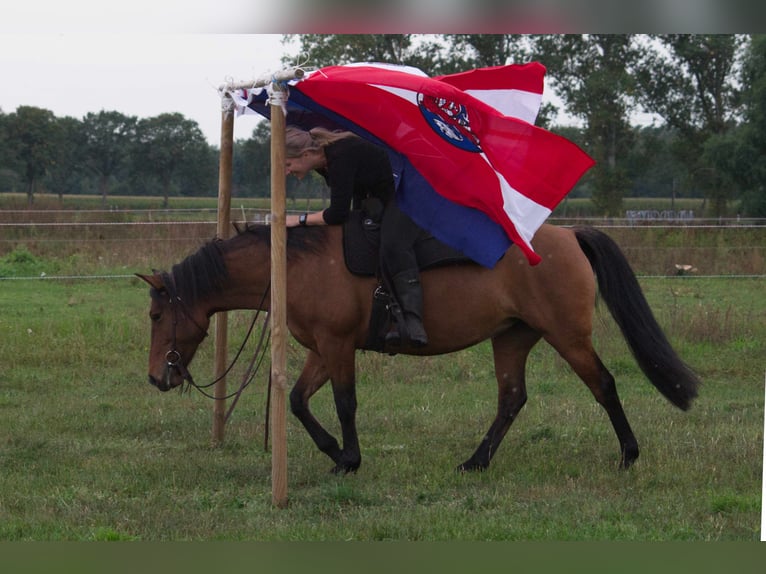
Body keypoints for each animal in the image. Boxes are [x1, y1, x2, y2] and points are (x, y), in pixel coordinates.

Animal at [138, 225, 704, 476]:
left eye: (156, 316)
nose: (156, 378)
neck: (298, 264)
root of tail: (567, 235)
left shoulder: (337, 346)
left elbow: (344, 403)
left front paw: (349, 459)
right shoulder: (322, 348)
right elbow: (298, 402)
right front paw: (335, 454)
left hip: (567, 336)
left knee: (603, 385)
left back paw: (628, 455)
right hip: (512, 336)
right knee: (511, 399)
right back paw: (476, 461)